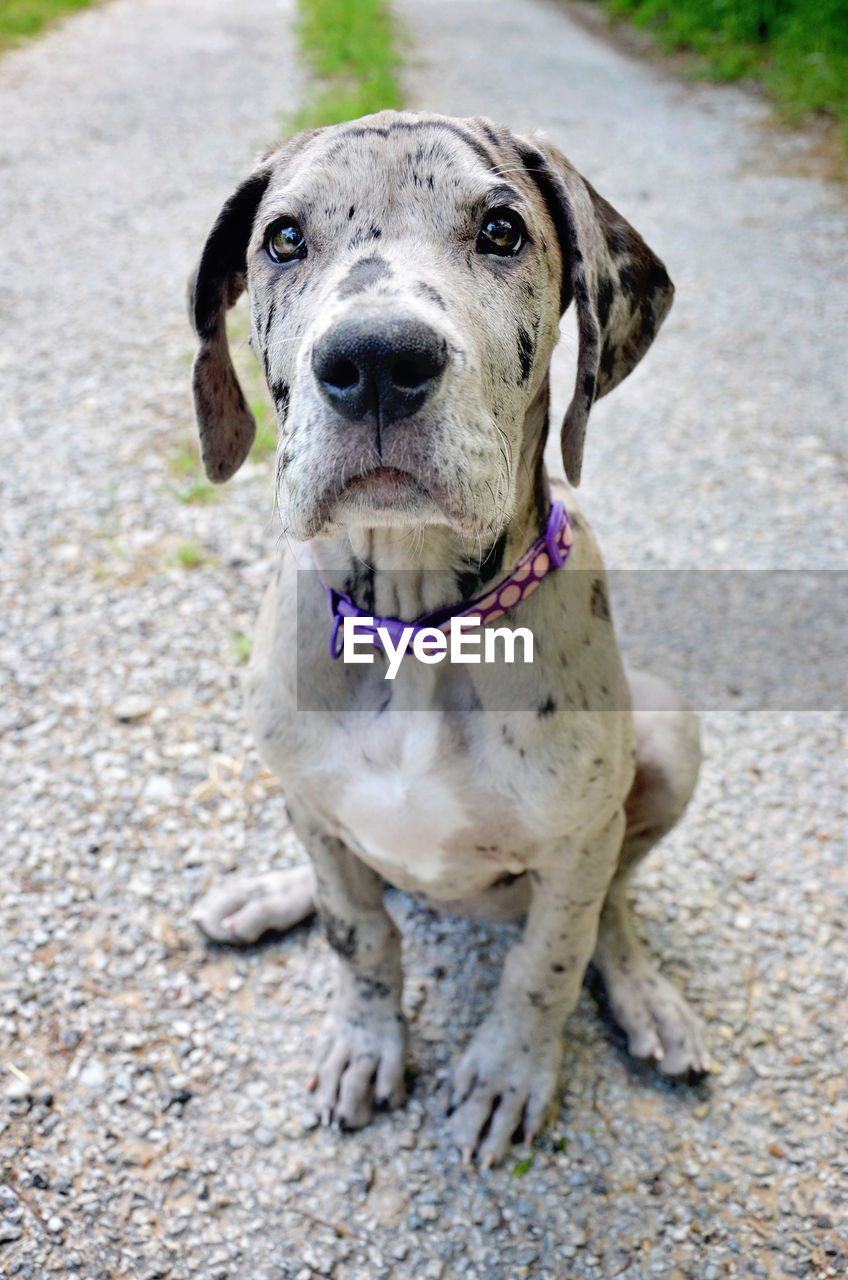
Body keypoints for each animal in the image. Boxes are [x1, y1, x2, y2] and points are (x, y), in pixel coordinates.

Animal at [189, 112, 707, 1172]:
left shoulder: (576, 845)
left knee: (614, 900)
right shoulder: (315, 808)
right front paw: (363, 1041)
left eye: (502, 229)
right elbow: (358, 932)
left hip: (670, 735)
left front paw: (510, 1073)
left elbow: (549, 962)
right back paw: (266, 895)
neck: (417, 630)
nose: (377, 360)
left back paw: (642, 991)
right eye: (284, 239)